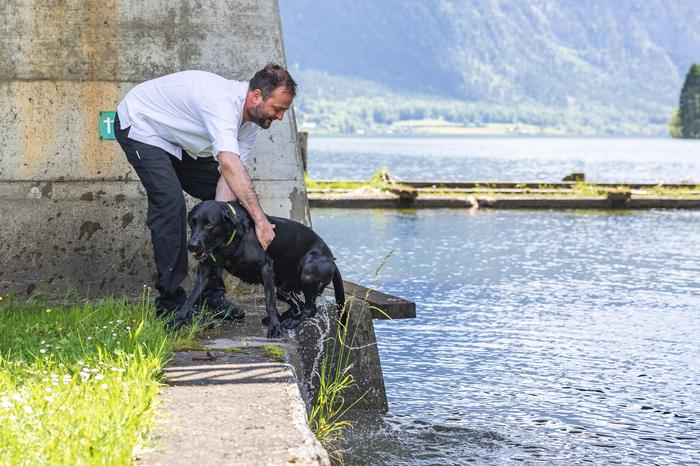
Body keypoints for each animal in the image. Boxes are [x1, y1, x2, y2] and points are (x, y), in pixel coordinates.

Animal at [170, 198, 344, 336]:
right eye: (192, 222)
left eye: (209, 224)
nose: (192, 245)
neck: (230, 242)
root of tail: (332, 259)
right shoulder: (206, 271)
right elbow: (190, 298)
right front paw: (177, 320)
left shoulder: (265, 267)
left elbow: (269, 303)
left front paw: (275, 328)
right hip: (281, 287)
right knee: (298, 305)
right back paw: (284, 318)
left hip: (308, 271)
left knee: (310, 308)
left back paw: (290, 321)